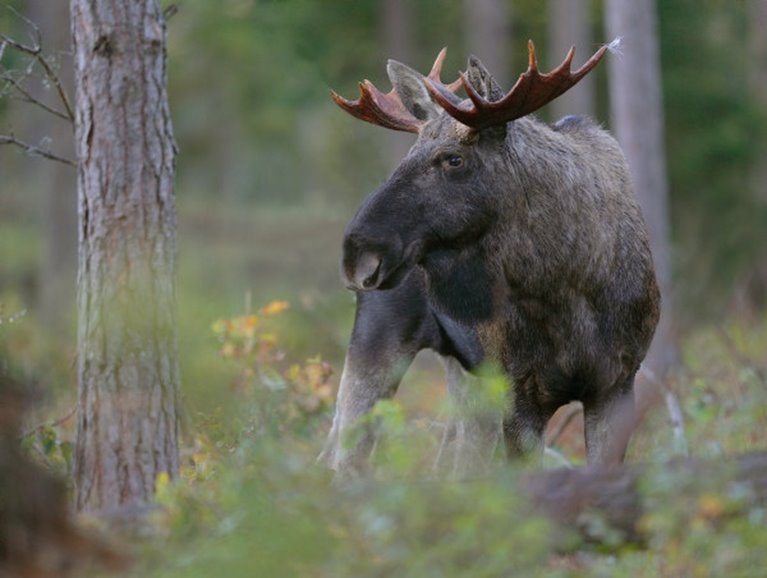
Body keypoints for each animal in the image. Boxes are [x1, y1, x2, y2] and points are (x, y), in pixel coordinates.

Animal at [320, 41, 664, 476]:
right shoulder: (519, 391)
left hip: (466, 375)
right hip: (379, 339)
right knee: (342, 456)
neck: (567, 283)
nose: (359, 253)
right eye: (409, 154)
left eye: (454, 159)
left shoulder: (617, 381)